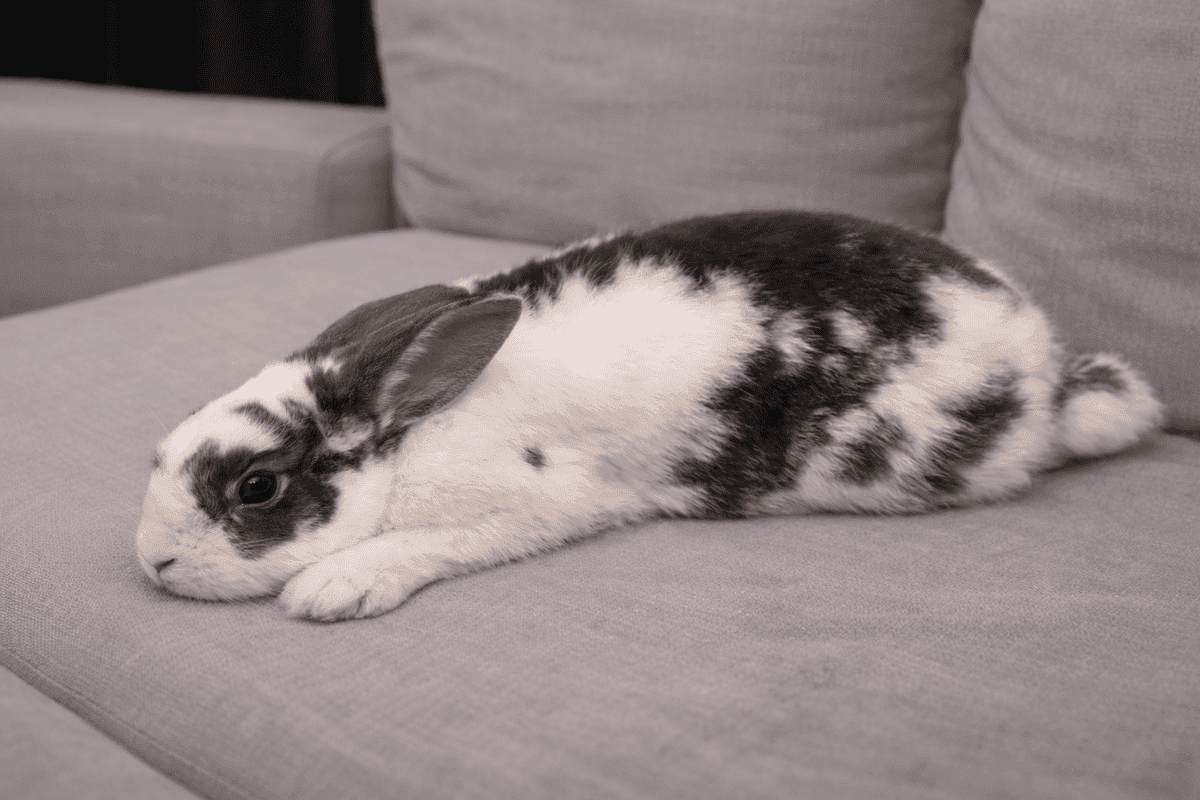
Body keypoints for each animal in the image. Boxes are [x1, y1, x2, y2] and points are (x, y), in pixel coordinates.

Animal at [136, 210, 1164, 621]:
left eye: (257, 487)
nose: (153, 564)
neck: (410, 426)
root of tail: (1047, 373)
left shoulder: (531, 504)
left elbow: (418, 543)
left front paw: (333, 589)